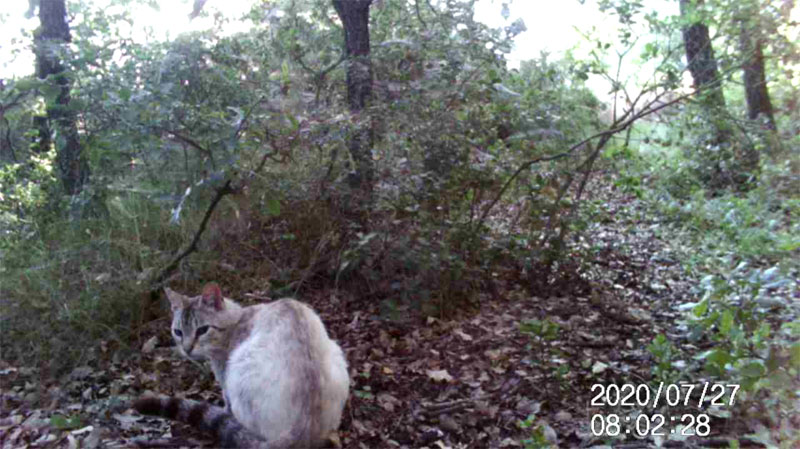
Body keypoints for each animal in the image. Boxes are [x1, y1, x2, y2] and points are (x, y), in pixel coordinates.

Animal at [133, 284, 348, 448]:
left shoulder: (225, 380)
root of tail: (303, 430)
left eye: (202, 330)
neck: (236, 321)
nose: (187, 349)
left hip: (238, 367)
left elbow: (225, 407)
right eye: (178, 332)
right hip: (337, 353)